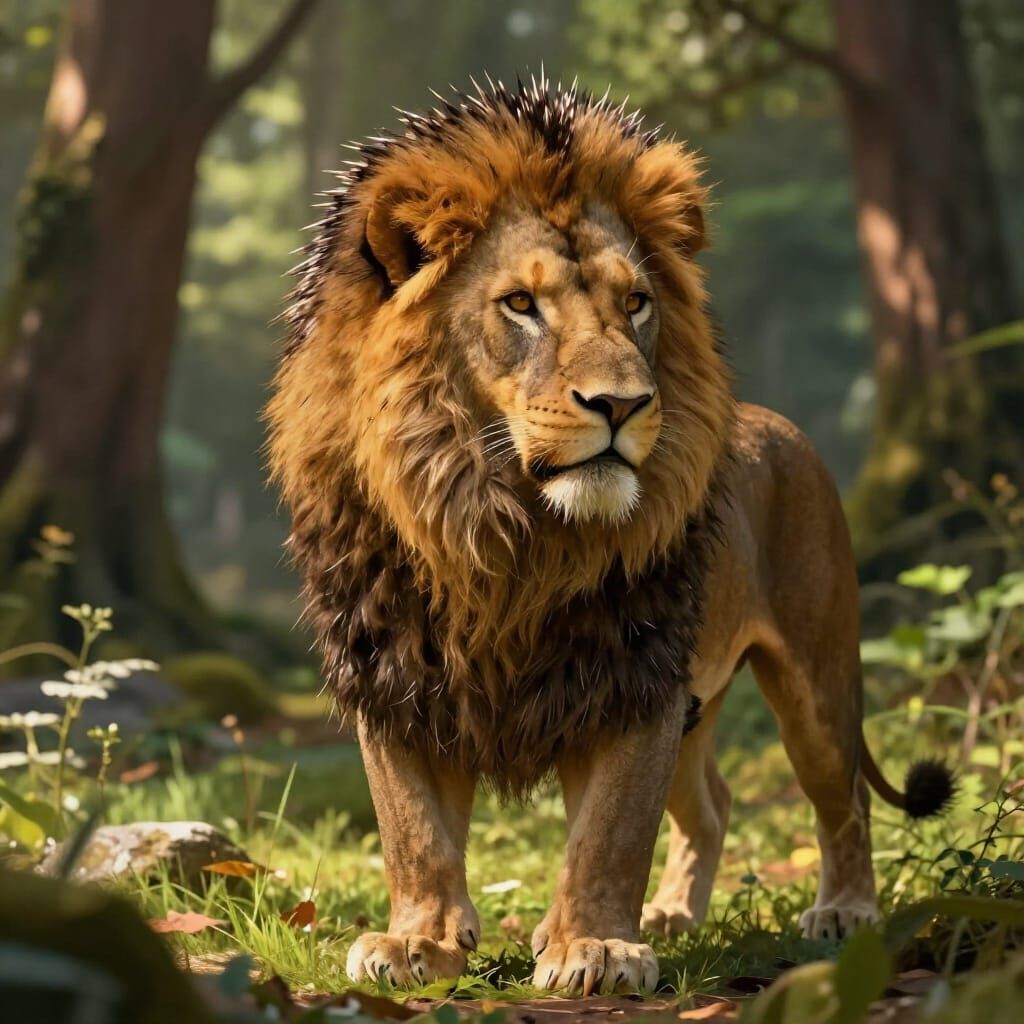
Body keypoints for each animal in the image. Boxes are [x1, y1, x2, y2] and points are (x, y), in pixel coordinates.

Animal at [267, 77, 953, 995]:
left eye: (635, 302)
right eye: (521, 305)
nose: (623, 404)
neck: (501, 532)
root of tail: (779, 424)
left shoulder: (635, 670)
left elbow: (610, 831)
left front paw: (593, 946)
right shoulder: (392, 671)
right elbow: (412, 830)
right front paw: (419, 942)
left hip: (817, 680)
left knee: (845, 799)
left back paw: (844, 911)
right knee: (714, 804)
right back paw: (674, 913)